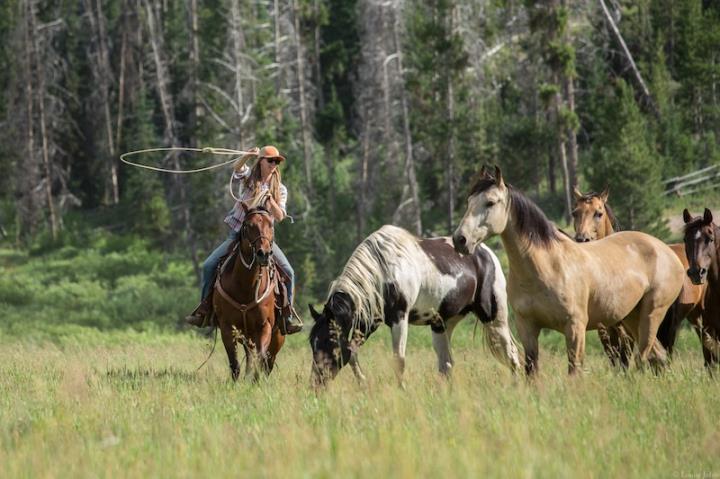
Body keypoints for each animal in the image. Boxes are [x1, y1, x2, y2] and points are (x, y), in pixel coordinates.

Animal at [211, 205, 284, 382]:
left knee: (268, 363)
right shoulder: (227, 327)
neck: (245, 287)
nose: (263, 254)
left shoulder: (264, 326)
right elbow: (235, 363)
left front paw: (256, 382)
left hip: (277, 337)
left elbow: (261, 357)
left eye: (271, 225)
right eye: (248, 226)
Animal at [306, 225, 520, 386]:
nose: (316, 383)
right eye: (312, 342)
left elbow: (399, 360)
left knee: (511, 354)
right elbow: (351, 353)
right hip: (442, 324)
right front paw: (363, 384)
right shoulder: (368, 321)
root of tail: (488, 253)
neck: (382, 270)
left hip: (494, 318)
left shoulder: (399, 318)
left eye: (328, 340)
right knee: (447, 364)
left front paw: (401, 389)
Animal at [452, 167, 684, 376]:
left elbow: (574, 372)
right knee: (657, 357)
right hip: (631, 317)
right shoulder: (527, 328)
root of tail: (669, 253)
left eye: (490, 202)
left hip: (651, 315)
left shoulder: (575, 329)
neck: (547, 266)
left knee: (643, 359)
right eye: (468, 202)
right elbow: (531, 372)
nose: (460, 239)